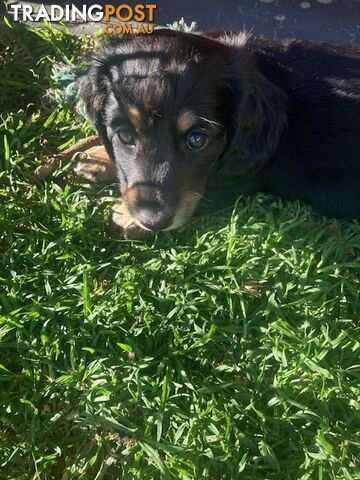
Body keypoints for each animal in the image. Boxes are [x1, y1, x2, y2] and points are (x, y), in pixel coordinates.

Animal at [76, 28, 360, 234]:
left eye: (197, 140)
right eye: (125, 135)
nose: (152, 221)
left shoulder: (244, 175)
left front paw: (124, 213)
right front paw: (98, 157)